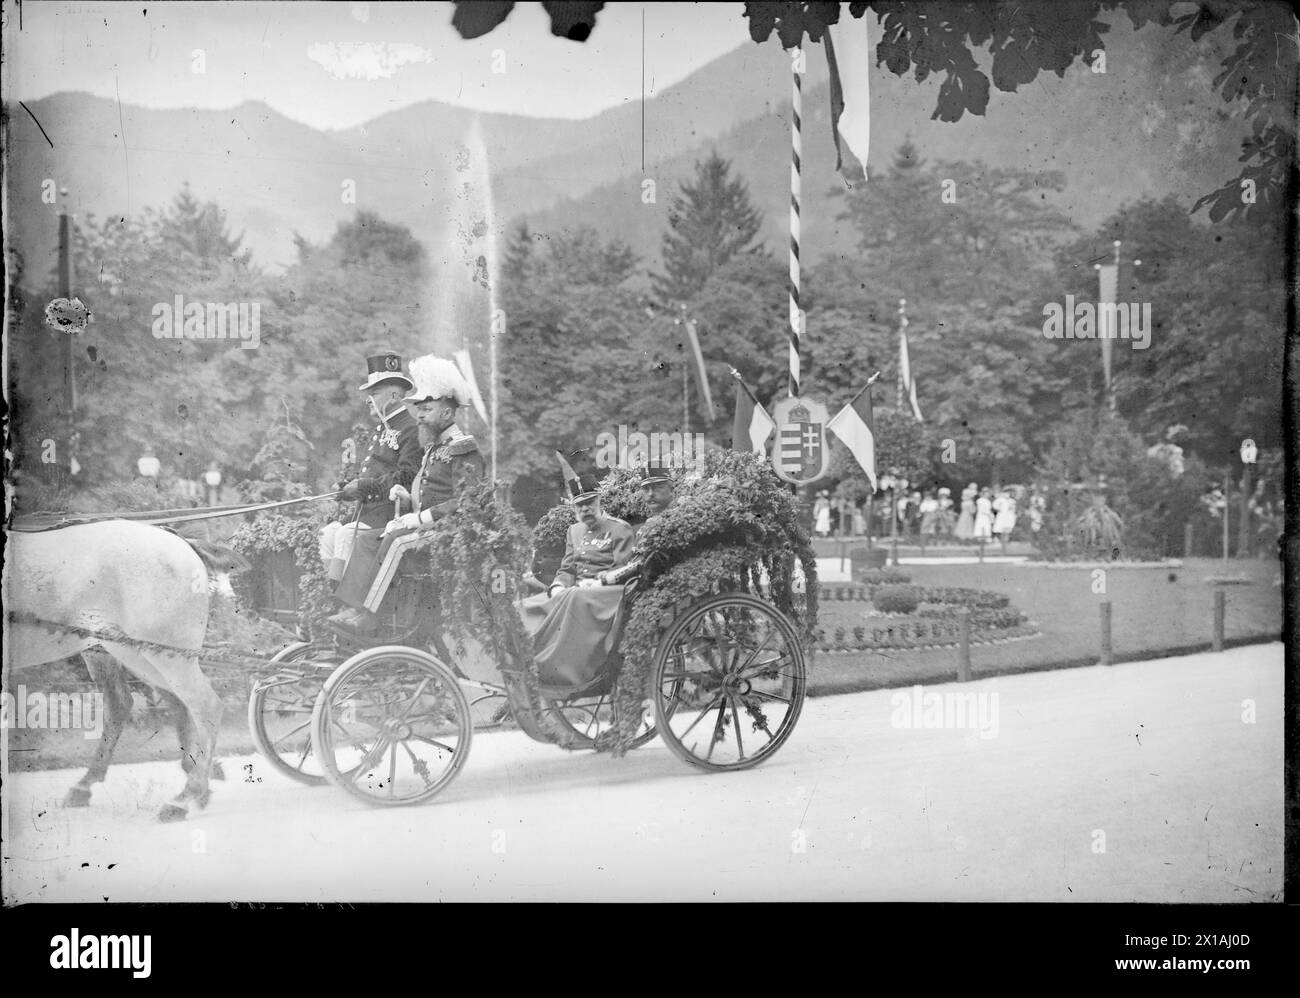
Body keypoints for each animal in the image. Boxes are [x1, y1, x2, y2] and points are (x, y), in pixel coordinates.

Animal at [5, 522, 236, 821]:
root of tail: (179, 541)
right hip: (129, 651)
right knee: (139, 703)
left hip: (164, 654)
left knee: (204, 706)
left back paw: (185, 796)